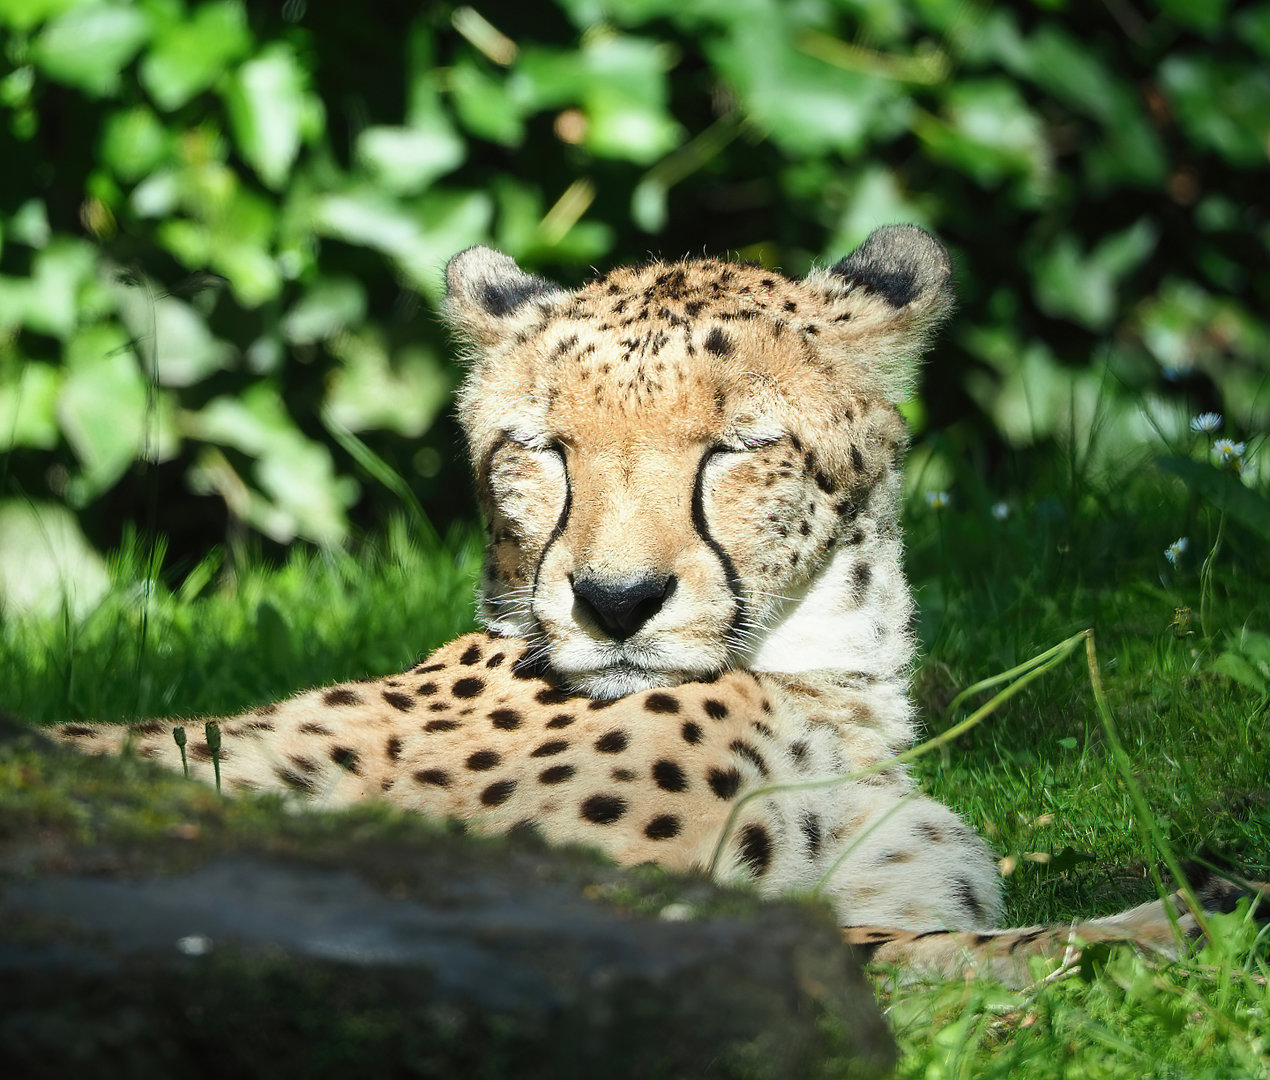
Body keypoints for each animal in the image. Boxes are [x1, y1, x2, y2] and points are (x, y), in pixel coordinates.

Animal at [51, 226, 1265, 985]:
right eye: (545, 448)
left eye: (737, 446)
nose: (615, 601)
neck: (828, 688)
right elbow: (924, 955)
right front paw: (1186, 925)